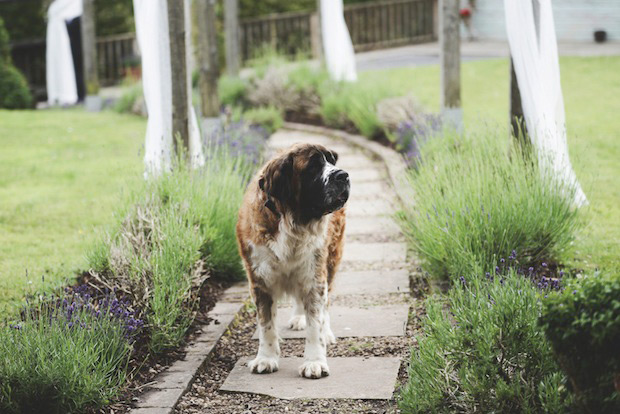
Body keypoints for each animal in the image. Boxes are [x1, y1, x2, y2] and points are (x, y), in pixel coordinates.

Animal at [235, 142, 348, 378]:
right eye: (313, 166)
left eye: (332, 161)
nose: (343, 175)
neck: (292, 222)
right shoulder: (260, 280)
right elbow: (266, 324)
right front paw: (266, 358)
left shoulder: (315, 276)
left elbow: (315, 323)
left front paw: (315, 362)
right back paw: (298, 318)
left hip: (331, 260)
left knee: (325, 303)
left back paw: (326, 331)